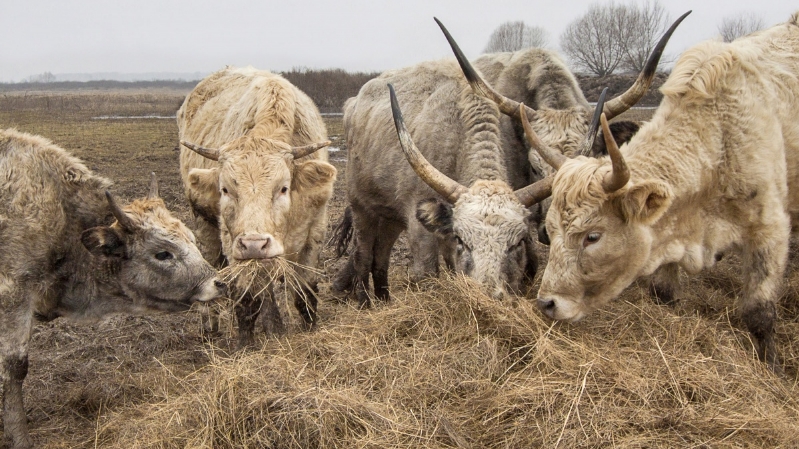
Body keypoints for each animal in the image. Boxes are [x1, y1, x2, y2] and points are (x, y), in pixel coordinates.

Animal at [0, 128, 226, 448]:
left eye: (191, 239)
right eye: (162, 254)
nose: (216, 282)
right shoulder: (14, 295)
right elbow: (15, 367)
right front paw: (19, 437)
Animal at [178, 66, 337, 347]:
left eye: (283, 188)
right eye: (225, 189)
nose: (254, 244)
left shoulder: (316, 230)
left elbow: (305, 292)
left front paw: (310, 329)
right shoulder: (233, 242)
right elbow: (248, 298)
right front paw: (246, 342)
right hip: (204, 224)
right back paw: (212, 325)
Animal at [331, 16, 685, 304]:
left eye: (514, 243)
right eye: (534, 164)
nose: (488, 296)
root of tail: (354, 100)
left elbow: (527, 268)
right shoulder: (422, 224)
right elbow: (425, 273)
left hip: (388, 216)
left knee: (380, 256)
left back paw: (381, 298)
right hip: (362, 208)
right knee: (364, 253)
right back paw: (362, 300)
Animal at [526, 12, 799, 370]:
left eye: (593, 236)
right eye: (552, 229)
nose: (546, 303)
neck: (718, 139)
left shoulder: (770, 231)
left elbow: (759, 313)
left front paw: (771, 368)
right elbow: (664, 292)